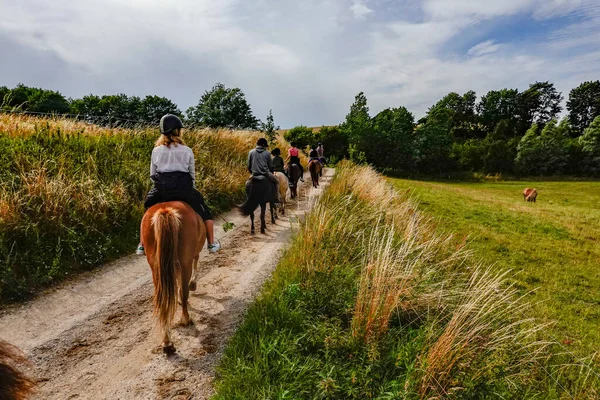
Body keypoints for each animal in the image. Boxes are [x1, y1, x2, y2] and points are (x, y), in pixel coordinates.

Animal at [141, 202, 209, 352]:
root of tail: (165, 211)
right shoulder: (191, 257)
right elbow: (195, 262)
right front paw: (192, 284)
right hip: (184, 261)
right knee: (184, 292)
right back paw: (185, 320)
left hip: (156, 267)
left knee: (162, 298)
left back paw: (166, 340)